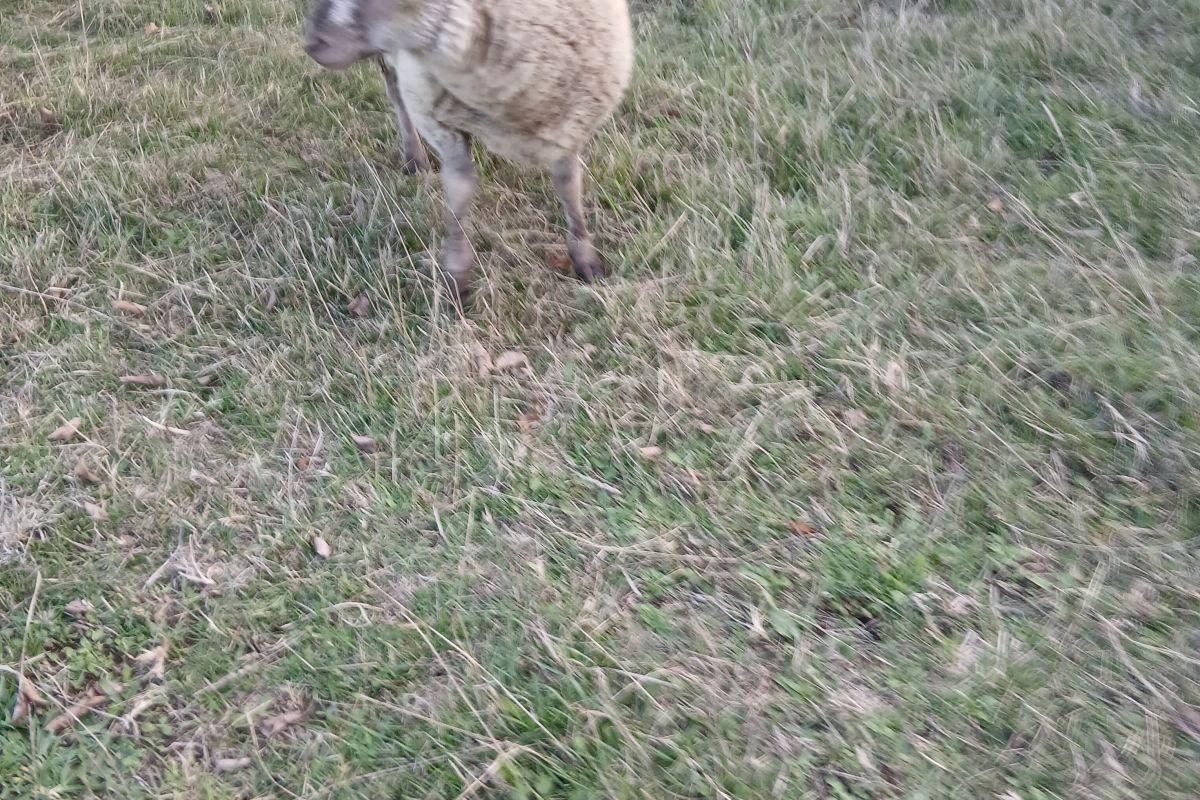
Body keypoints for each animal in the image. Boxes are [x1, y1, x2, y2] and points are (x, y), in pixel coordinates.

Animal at [303, 0, 635, 305]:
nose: (313, 43)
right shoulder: (439, 119)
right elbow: (460, 189)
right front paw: (457, 278)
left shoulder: (570, 123)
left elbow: (568, 185)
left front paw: (586, 260)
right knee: (395, 89)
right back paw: (414, 157)